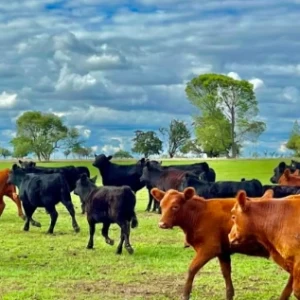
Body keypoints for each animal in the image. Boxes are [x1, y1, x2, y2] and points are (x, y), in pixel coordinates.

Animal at [150, 188, 292, 300]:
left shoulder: (209, 249)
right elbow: (226, 273)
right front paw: (229, 294)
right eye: (161, 206)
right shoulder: (223, 252)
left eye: (175, 206)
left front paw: (185, 295)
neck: (200, 214)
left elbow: (191, 269)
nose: (162, 224)